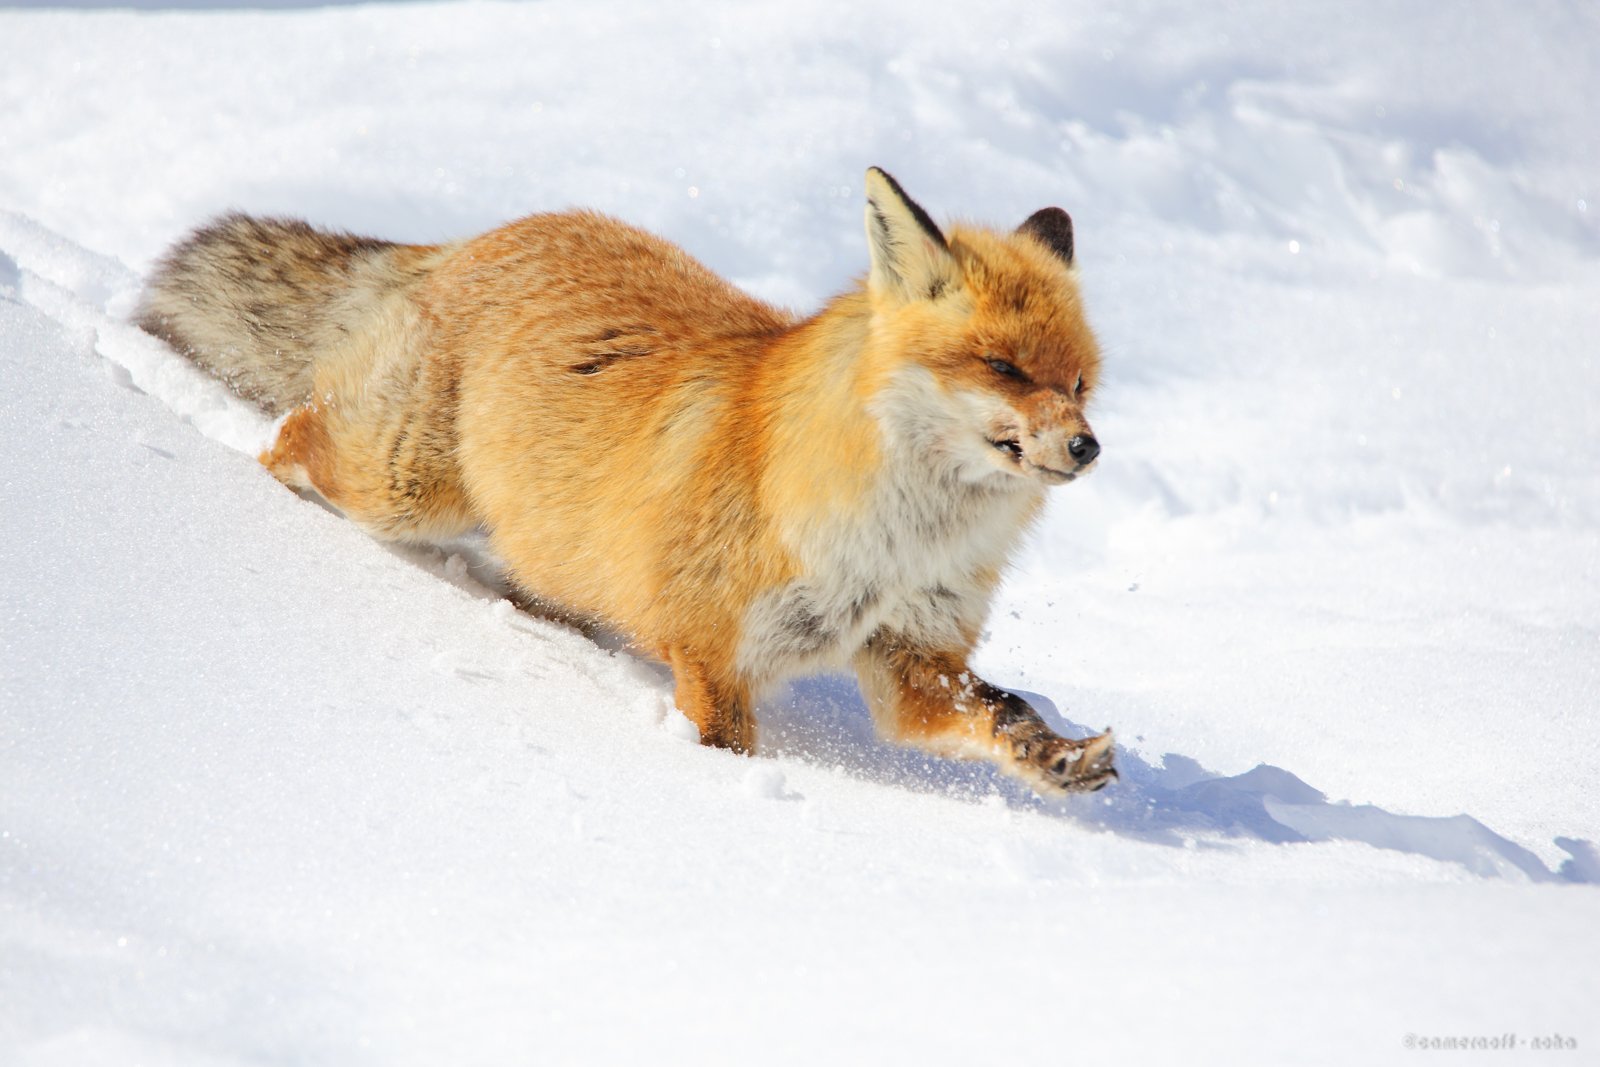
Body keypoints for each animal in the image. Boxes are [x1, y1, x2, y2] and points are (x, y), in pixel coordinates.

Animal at [137, 167, 1117, 795]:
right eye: (1001, 366)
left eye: (1077, 383)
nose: (1086, 448)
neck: (898, 544)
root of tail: (478, 237)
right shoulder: (713, 650)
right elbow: (726, 749)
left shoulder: (914, 661)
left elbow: (999, 713)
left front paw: (1059, 757)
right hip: (402, 485)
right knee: (291, 432)